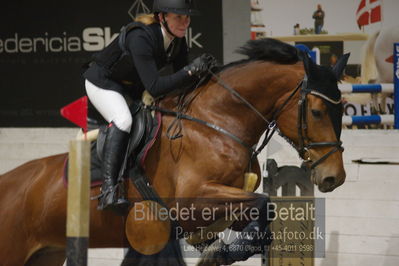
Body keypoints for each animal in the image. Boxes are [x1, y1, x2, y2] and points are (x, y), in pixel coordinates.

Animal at [0, 38, 348, 266]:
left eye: (343, 109)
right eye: (317, 112)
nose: (334, 177)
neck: (217, 123)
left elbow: (260, 213)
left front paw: (217, 250)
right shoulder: (190, 202)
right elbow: (264, 203)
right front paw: (220, 253)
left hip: (46, 254)